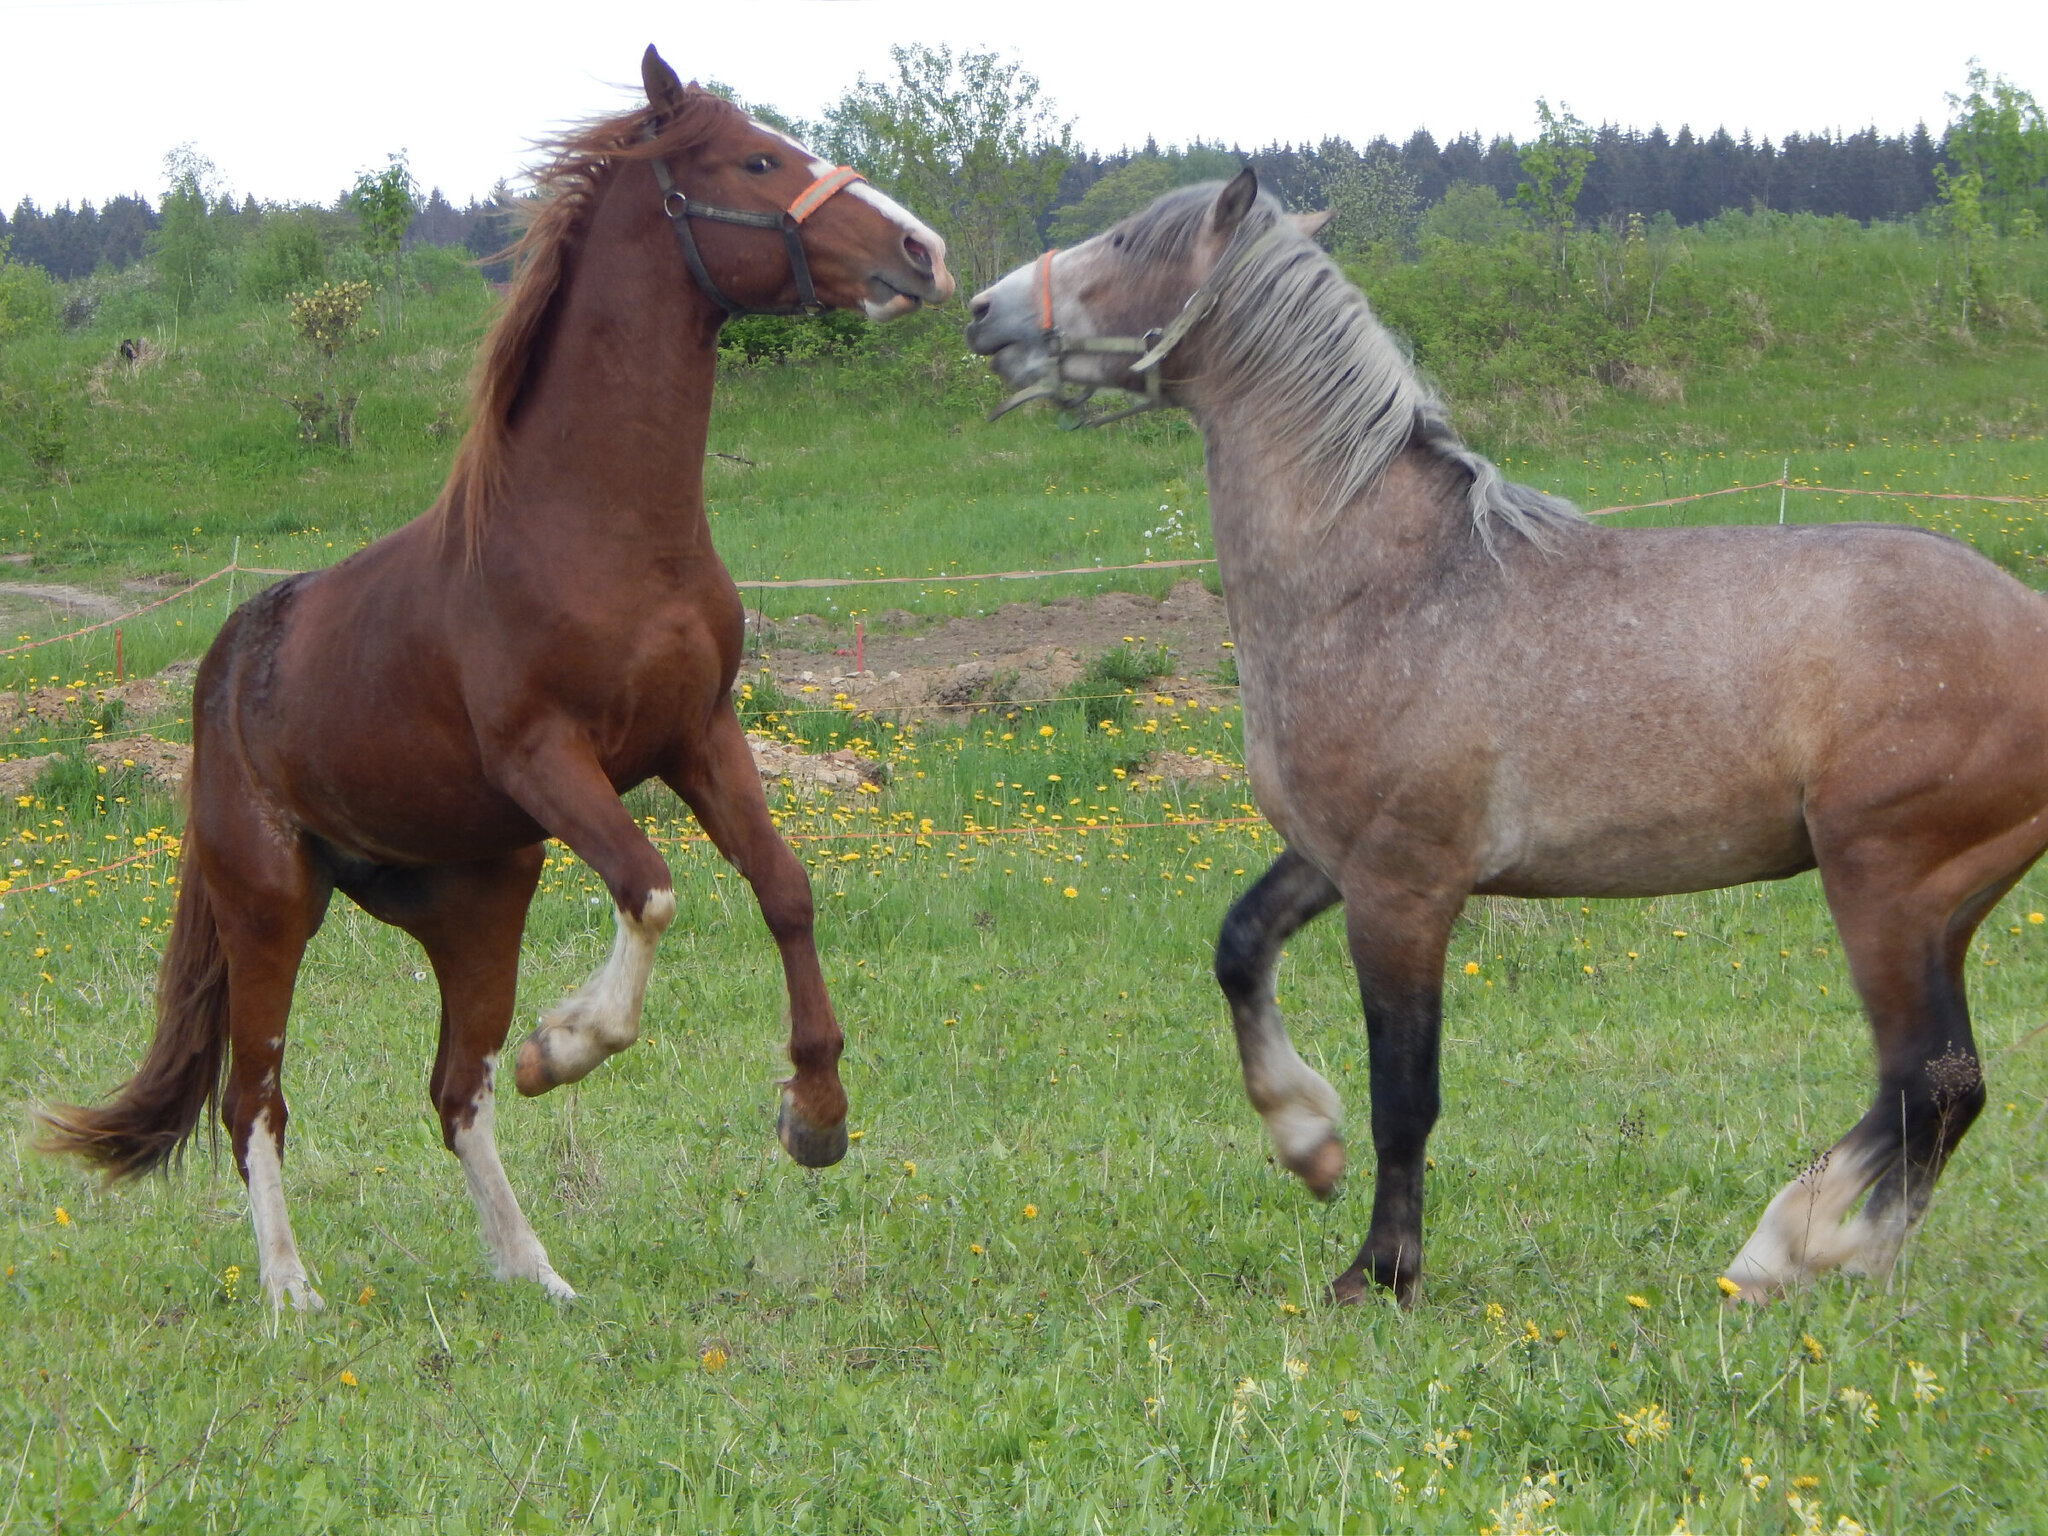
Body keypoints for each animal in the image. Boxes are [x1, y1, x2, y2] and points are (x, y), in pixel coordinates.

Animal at [39, 54, 950, 1318]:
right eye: (757, 160)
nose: (922, 252)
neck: (598, 533)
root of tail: (225, 666)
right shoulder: (549, 759)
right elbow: (650, 888)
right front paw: (562, 1048)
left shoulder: (699, 736)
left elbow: (784, 890)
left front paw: (813, 1115)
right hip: (270, 907)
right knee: (253, 1099)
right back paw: (293, 1294)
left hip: (476, 903)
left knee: (451, 1087)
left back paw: (536, 1271)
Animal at [966, 177, 2048, 1310]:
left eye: (1133, 240)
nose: (985, 311)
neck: (1388, 583)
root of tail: (2030, 618)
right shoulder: (1336, 858)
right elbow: (1240, 948)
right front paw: (1306, 1142)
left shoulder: (1403, 888)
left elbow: (1405, 1093)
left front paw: (1379, 1272)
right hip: (1950, 902)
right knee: (1947, 1089)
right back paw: (1849, 1258)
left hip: (1887, 883)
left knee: (1926, 1078)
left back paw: (1784, 1248)